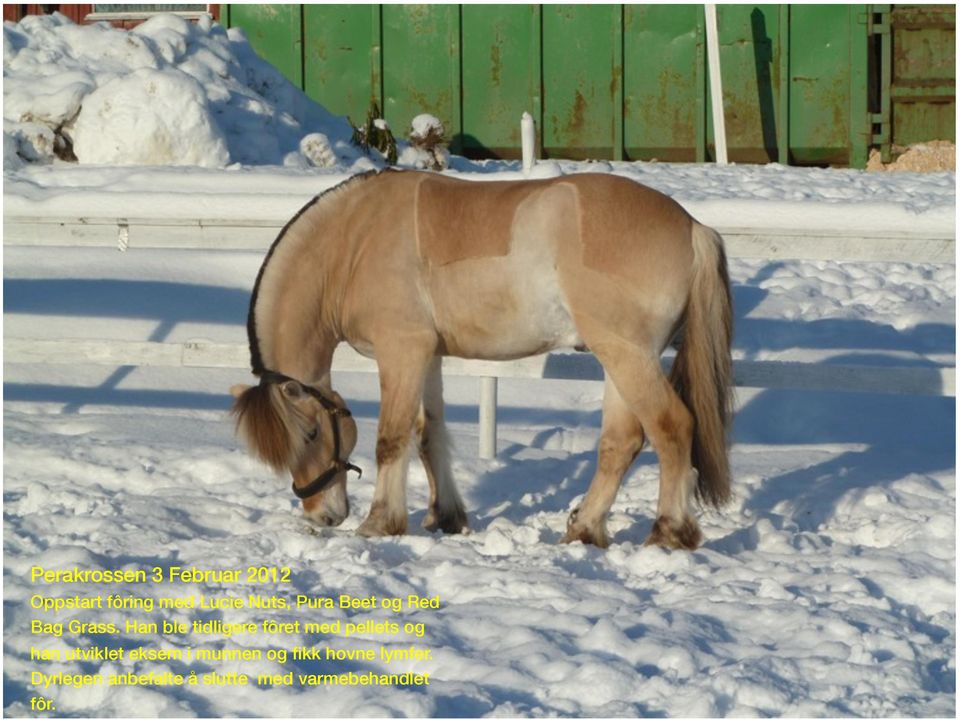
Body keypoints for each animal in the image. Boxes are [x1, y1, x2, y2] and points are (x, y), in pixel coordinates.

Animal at [232, 170, 736, 552]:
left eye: (311, 434)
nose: (323, 516)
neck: (354, 240)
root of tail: (694, 228)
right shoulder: (428, 357)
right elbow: (428, 435)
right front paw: (446, 517)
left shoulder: (401, 350)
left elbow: (391, 439)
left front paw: (380, 523)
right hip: (618, 359)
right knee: (620, 443)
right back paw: (583, 529)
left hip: (628, 357)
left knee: (672, 428)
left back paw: (669, 531)